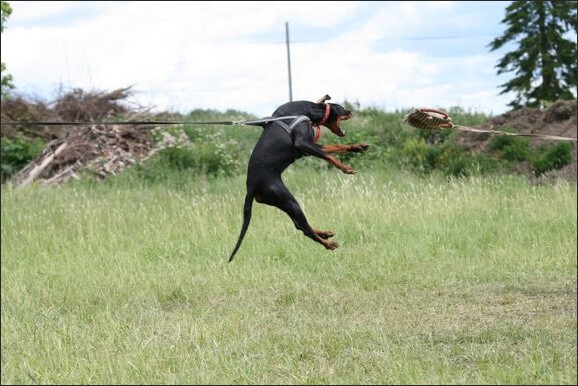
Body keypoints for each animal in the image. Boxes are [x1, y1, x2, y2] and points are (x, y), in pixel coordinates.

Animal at [227, 94, 366, 260]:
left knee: (298, 225)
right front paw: (346, 168)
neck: (306, 109)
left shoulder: (309, 146)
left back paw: (324, 234)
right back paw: (328, 244)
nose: (350, 111)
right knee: (303, 228)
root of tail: (250, 187)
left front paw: (357, 147)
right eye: (341, 108)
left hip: (281, 202)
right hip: (287, 199)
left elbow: (336, 147)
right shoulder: (302, 144)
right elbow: (328, 155)